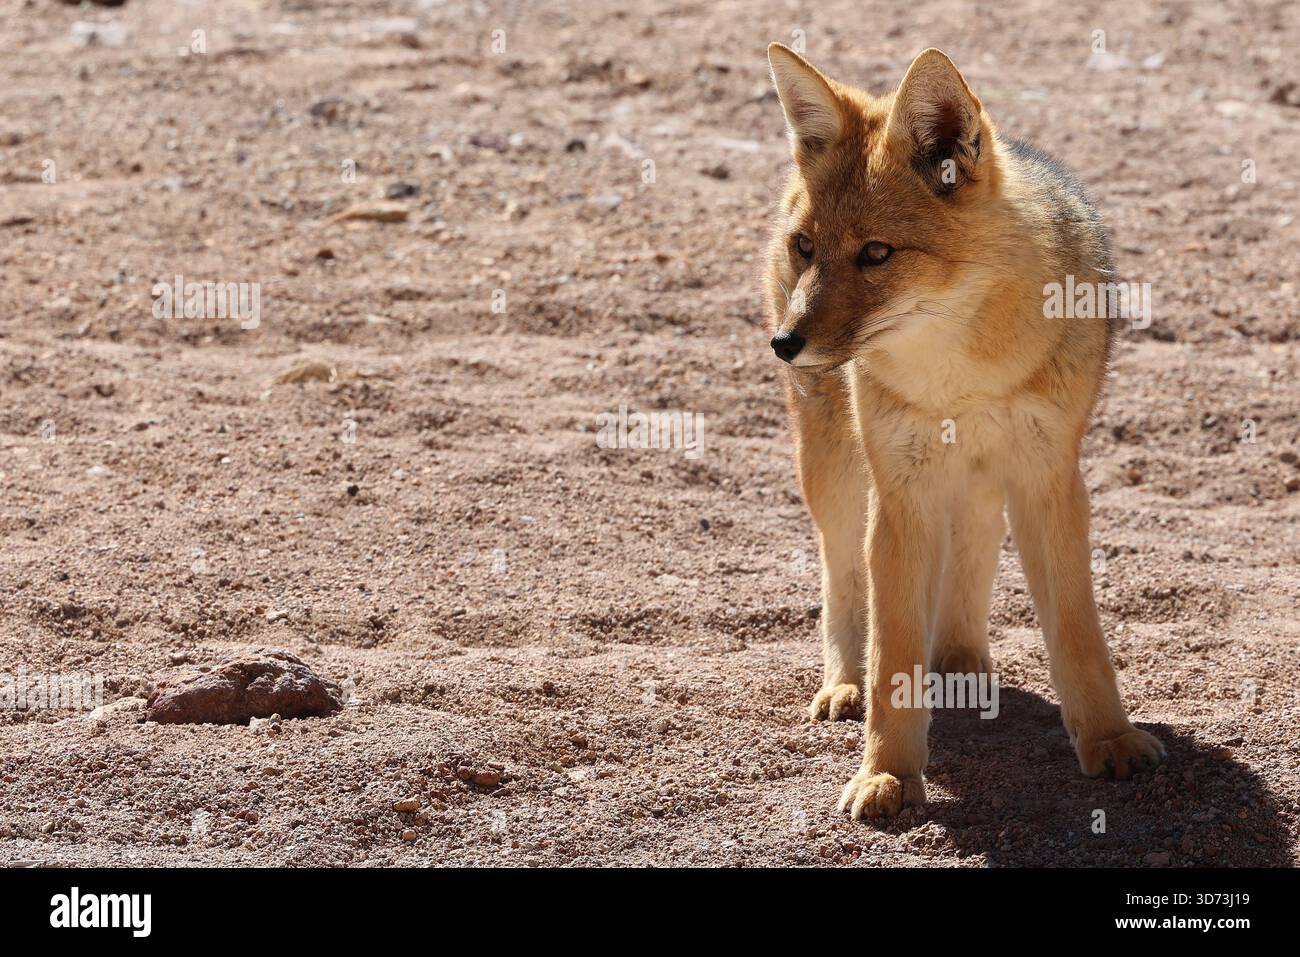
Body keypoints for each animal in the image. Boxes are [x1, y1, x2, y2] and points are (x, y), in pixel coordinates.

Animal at [762, 44, 1166, 819]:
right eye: (806, 247)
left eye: (877, 253)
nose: (784, 343)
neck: (962, 377)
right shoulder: (899, 495)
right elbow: (890, 651)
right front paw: (887, 773)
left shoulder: (1048, 479)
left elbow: (1077, 631)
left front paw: (1110, 739)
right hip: (835, 470)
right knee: (843, 575)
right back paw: (844, 684)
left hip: (981, 474)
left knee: (973, 540)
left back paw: (959, 660)